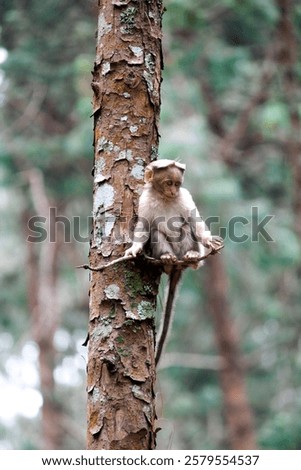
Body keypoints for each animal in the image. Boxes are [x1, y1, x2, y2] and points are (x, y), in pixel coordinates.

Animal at [123, 160, 221, 366]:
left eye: (177, 184)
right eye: (168, 183)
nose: (174, 191)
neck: (163, 197)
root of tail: (179, 264)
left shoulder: (186, 197)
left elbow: (195, 222)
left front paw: (209, 240)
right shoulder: (144, 202)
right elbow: (145, 227)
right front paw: (135, 248)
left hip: (183, 252)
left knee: (186, 226)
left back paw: (192, 257)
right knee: (156, 231)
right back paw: (167, 259)